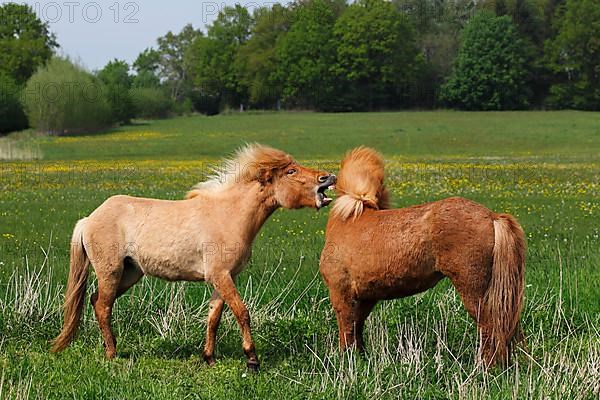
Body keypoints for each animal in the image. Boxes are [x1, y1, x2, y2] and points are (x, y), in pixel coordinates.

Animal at [51, 143, 336, 368]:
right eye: (291, 171)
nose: (329, 177)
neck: (228, 215)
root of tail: (89, 219)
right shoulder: (221, 275)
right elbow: (242, 312)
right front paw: (252, 360)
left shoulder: (224, 278)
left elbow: (214, 317)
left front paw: (209, 357)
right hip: (110, 272)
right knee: (103, 305)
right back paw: (112, 353)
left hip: (130, 273)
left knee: (95, 299)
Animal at [318, 147, 524, 366]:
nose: (324, 178)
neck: (348, 220)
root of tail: (492, 217)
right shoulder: (366, 298)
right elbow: (357, 330)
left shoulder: (341, 294)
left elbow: (346, 330)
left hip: (474, 289)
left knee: (490, 328)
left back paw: (485, 367)